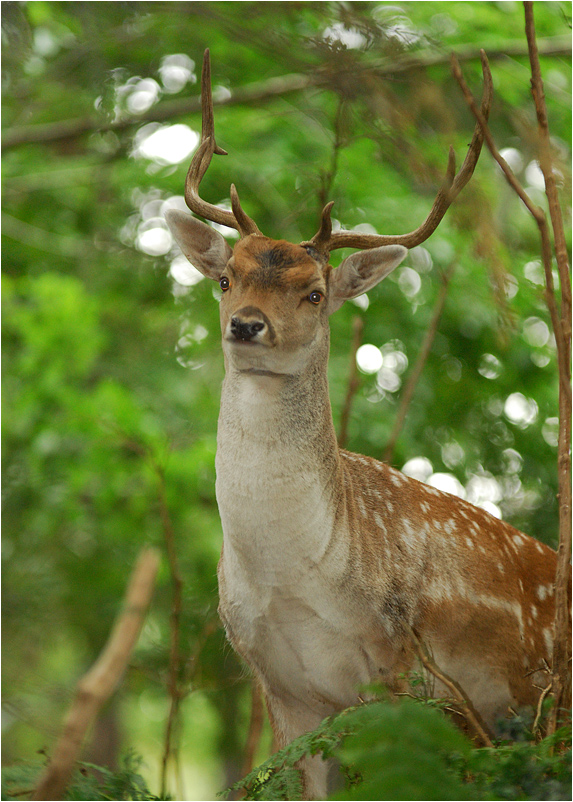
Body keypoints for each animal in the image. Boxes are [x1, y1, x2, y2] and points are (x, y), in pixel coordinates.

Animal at [165, 51, 568, 800]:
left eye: (314, 292)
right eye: (226, 279)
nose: (247, 325)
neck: (296, 578)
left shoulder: (398, 665)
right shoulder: (279, 685)